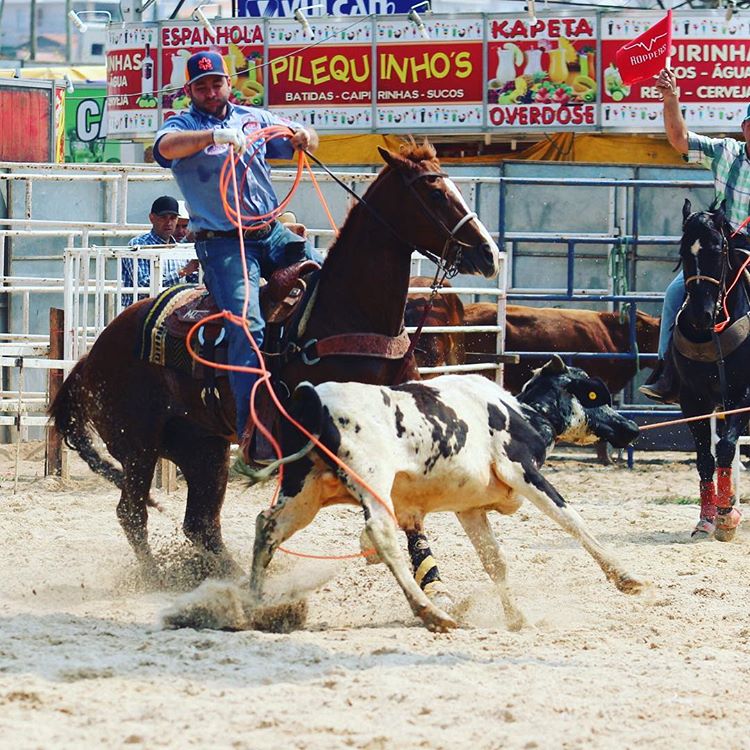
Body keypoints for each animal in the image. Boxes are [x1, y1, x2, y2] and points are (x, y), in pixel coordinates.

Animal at [48, 141, 500, 581]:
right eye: (435, 194)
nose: (489, 253)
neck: (346, 313)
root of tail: (93, 355)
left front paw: (431, 575)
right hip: (139, 446)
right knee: (133, 513)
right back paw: (160, 578)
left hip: (202, 447)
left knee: (200, 523)